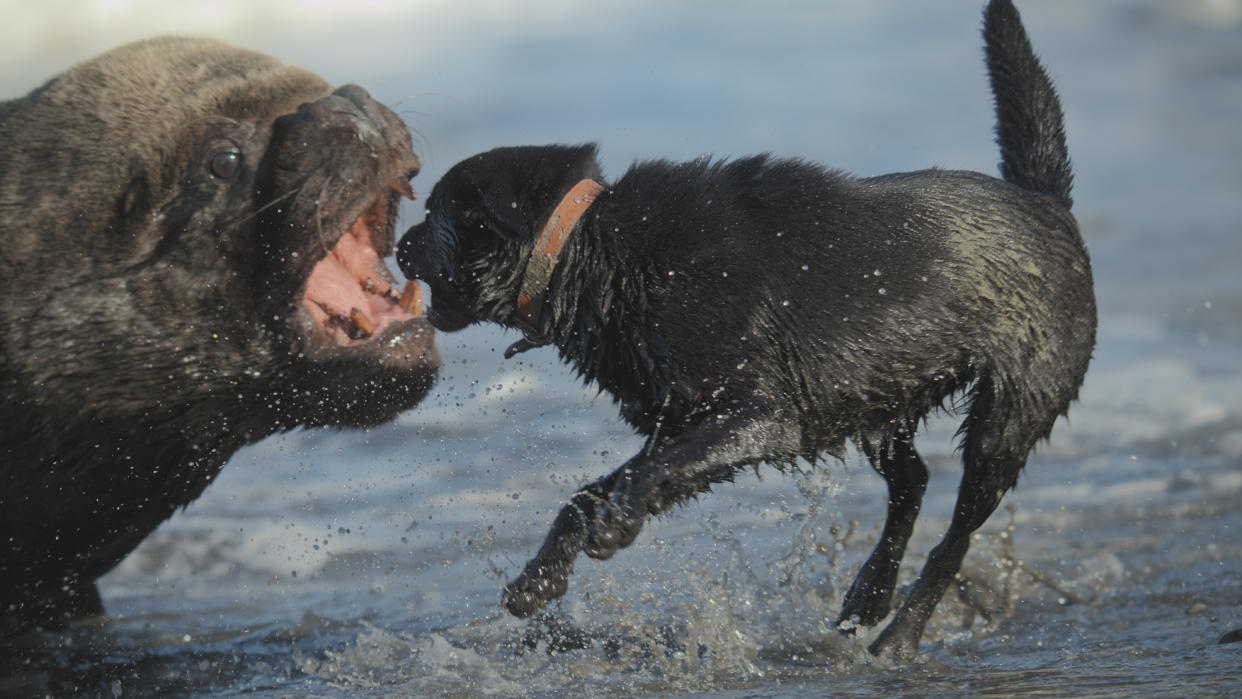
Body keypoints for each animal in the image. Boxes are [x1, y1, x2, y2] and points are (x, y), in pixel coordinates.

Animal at [399, 0, 1097, 660]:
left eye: (433, 214)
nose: (400, 245)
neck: (591, 250)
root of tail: (1046, 202)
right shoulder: (682, 416)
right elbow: (592, 491)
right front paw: (537, 581)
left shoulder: (760, 415)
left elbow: (648, 475)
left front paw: (617, 526)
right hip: (878, 391)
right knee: (913, 484)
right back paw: (868, 595)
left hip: (1009, 415)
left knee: (957, 531)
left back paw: (898, 636)